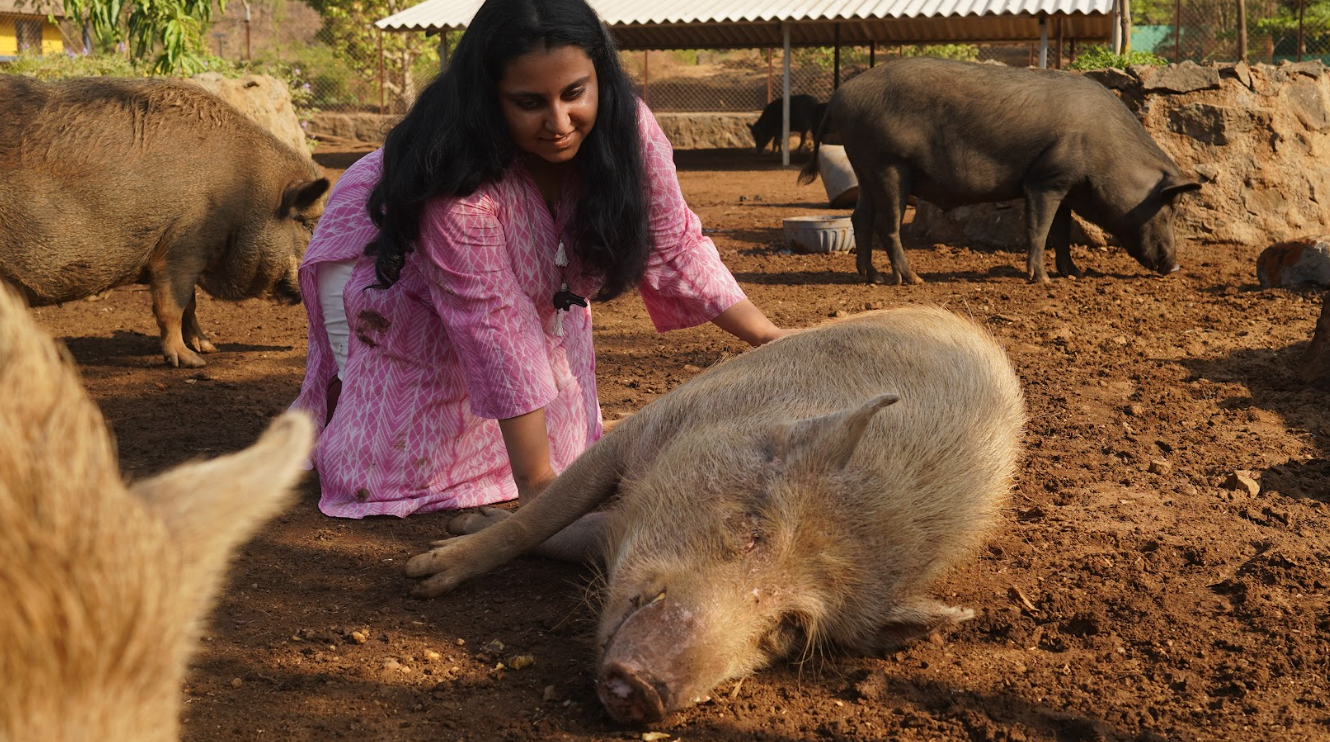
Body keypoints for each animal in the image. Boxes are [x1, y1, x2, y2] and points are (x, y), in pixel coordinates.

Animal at [0, 74, 329, 369]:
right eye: (306, 223)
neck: (245, 193)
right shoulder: (180, 248)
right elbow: (172, 307)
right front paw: (192, 362)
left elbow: (190, 306)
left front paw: (208, 347)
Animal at [404, 307, 1026, 728]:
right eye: (753, 528)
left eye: (790, 627)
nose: (647, 688)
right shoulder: (653, 424)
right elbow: (540, 518)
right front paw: (422, 575)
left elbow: (569, 531)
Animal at [798, 56, 1207, 284]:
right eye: (1167, 208)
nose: (1175, 266)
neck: (1106, 152)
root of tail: (840, 95)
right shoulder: (1046, 179)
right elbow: (1039, 229)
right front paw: (1041, 280)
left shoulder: (1066, 187)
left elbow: (1061, 232)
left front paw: (1073, 274)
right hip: (888, 163)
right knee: (887, 223)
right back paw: (912, 279)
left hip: (865, 166)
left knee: (860, 216)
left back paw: (872, 277)